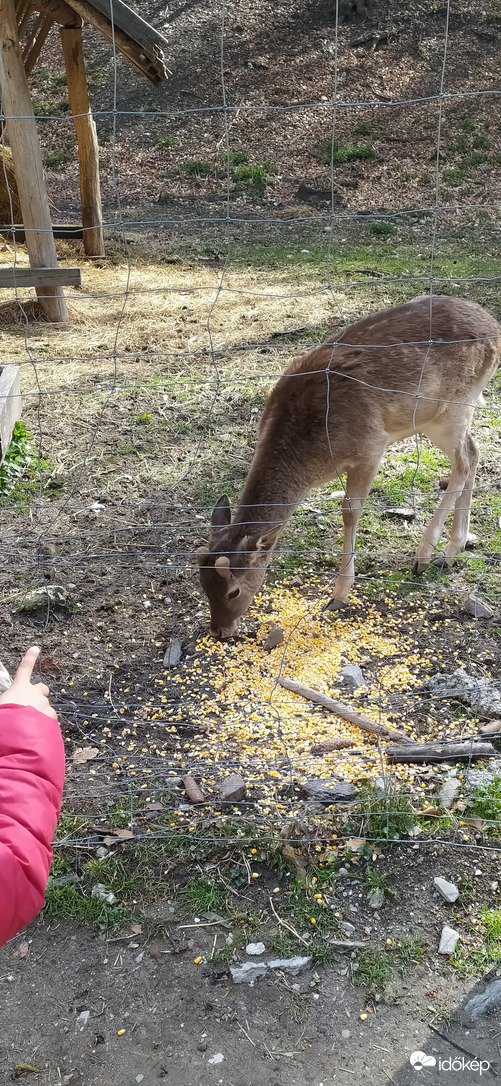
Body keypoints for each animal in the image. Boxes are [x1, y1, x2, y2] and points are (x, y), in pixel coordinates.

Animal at [196, 293, 499, 638]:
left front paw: (339, 595)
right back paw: (453, 548)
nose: (219, 630)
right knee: (473, 452)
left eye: (233, 591)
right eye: (203, 584)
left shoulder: (371, 448)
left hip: (451, 409)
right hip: (444, 416)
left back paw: (427, 556)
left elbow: (350, 511)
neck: (312, 457)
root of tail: (494, 326)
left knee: (463, 463)